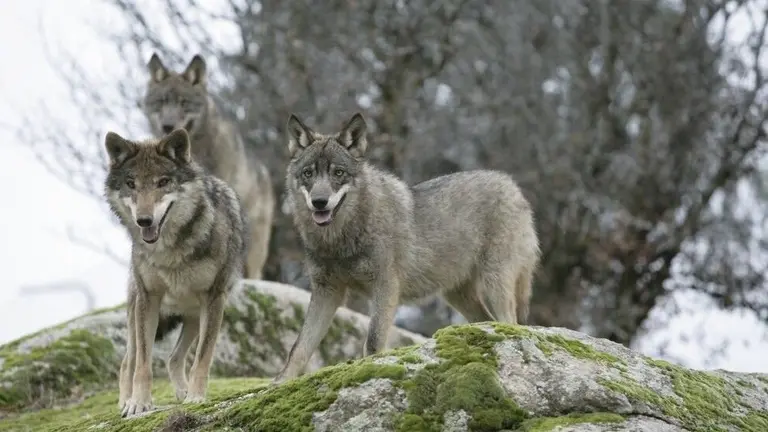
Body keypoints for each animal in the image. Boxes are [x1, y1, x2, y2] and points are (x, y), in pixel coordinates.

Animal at [104, 128, 247, 416]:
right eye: (131, 184)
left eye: (163, 182)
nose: (144, 221)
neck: (169, 251)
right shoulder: (149, 299)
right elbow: (143, 364)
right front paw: (138, 403)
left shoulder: (214, 299)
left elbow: (202, 358)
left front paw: (195, 397)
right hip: (137, 313)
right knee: (128, 362)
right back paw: (125, 402)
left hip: (193, 316)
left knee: (173, 358)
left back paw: (182, 393)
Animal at [273, 113, 541, 383]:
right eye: (308, 173)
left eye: (338, 172)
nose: (319, 202)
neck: (340, 240)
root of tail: (512, 185)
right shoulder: (326, 292)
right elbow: (299, 347)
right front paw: (280, 382)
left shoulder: (385, 286)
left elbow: (373, 342)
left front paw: (369, 371)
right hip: (457, 295)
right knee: (488, 321)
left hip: (495, 283)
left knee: (511, 323)